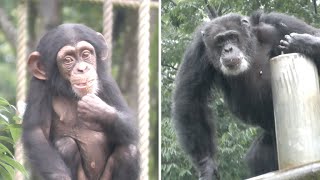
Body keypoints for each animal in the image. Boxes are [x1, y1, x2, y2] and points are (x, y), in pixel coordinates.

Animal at [21, 23, 139, 179]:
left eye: (86, 54)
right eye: (68, 60)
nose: (82, 68)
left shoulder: (107, 81)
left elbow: (130, 123)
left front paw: (97, 109)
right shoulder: (38, 86)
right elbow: (37, 131)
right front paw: (61, 177)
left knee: (129, 151)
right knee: (65, 145)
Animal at [172, 11, 320, 180]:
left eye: (233, 36)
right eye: (220, 40)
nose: (228, 49)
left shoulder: (281, 22)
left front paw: (306, 43)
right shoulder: (198, 50)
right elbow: (191, 100)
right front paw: (206, 167)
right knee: (259, 156)